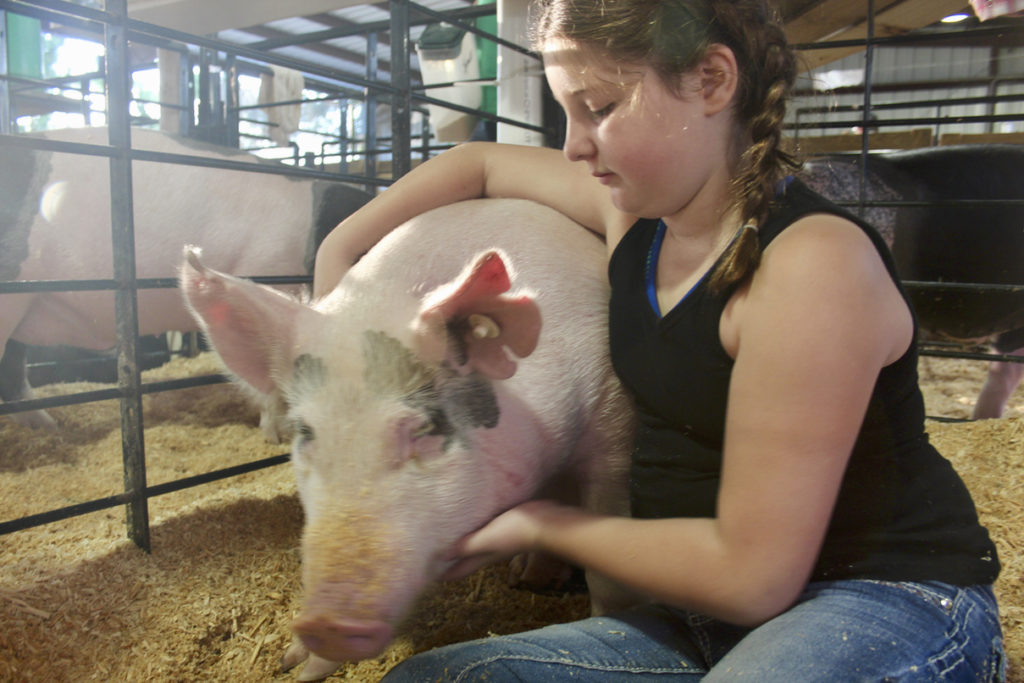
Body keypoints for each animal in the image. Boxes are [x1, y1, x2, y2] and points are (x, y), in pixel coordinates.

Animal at [180, 198, 635, 679]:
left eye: (423, 428)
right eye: (306, 431)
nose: (323, 623)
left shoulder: (615, 419)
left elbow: (608, 560)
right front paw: (295, 665)